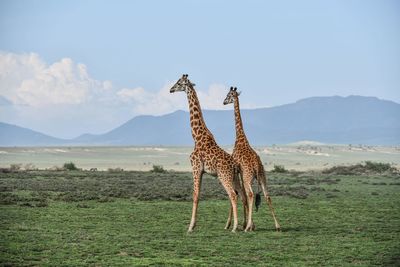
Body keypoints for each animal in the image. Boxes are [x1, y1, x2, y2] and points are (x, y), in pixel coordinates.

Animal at [170, 75, 247, 232]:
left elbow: (195, 195)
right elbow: (198, 194)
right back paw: (244, 225)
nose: (170, 89)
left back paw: (234, 227)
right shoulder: (201, 171)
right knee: (242, 195)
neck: (196, 137)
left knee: (233, 195)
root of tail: (235, 165)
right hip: (234, 177)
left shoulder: (195, 167)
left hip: (224, 177)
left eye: (179, 83)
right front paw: (193, 225)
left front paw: (190, 226)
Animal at [222, 87, 282, 232]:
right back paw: (277, 226)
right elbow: (242, 195)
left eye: (228, 95)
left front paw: (236, 224)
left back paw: (248, 226)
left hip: (248, 177)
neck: (240, 138)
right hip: (262, 177)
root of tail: (256, 166)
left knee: (250, 194)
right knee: (267, 195)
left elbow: (240, 195)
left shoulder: (238, 171)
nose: (223, 102)